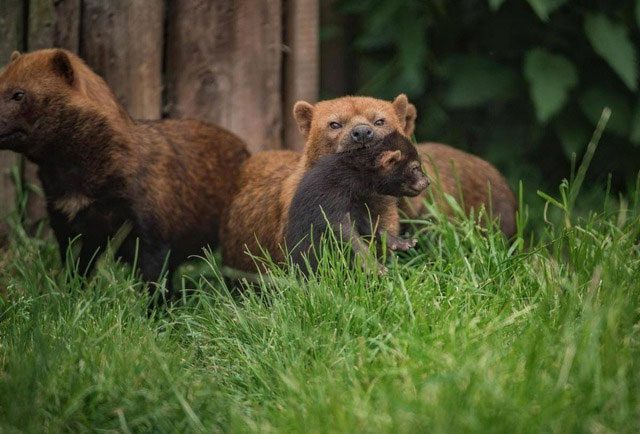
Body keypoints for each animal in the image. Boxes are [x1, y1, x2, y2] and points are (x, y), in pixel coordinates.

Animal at [286, 131, 428, 274]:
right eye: (415, 167)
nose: (427, 181)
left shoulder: (356, 207)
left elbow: (369, 224)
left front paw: (402, 242)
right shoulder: (329, 200)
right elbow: (346, 233)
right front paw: (375, 267)